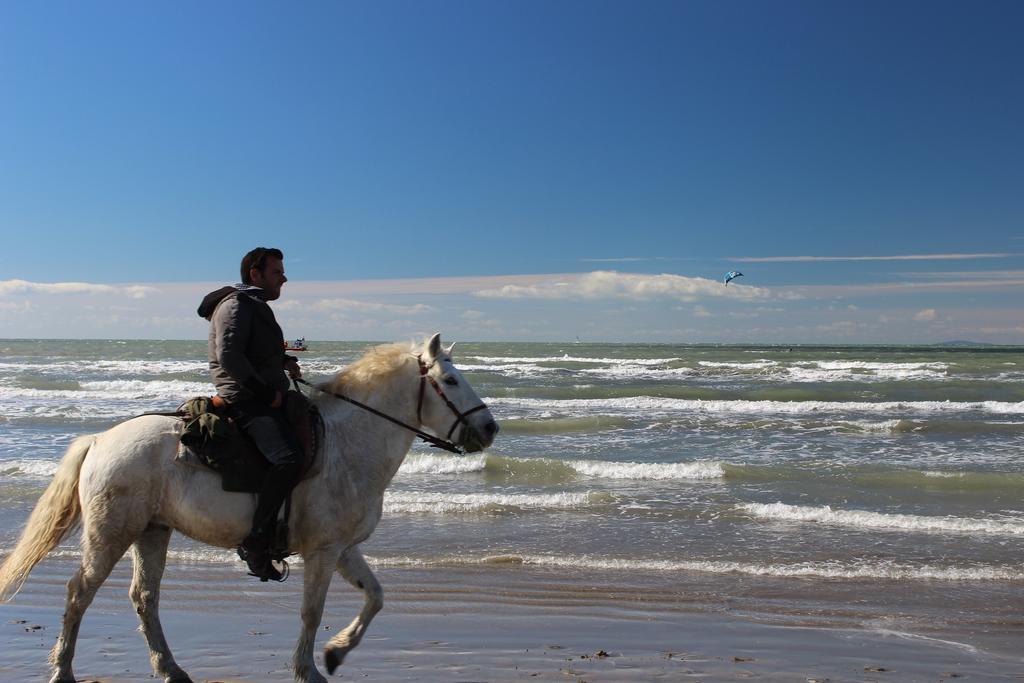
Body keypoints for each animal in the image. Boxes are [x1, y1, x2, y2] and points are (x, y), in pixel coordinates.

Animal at [0, 333, 497, 679]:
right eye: (450, 380)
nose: (490, 428)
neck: (349, 445)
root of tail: (100, 439)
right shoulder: (322, 552)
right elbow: (312, 611)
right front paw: (308, 670)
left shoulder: (343, 549)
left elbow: (374, 596)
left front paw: (336, 653)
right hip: (111, 532)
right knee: (79, 593)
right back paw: (63, 670)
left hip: (152, 531)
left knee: (144, 598)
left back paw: (171, 669)